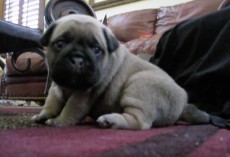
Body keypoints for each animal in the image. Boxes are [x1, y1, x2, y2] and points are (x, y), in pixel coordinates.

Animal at [32, 14, 228, 129]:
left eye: (96, 49)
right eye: (60, 43)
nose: (78, 59)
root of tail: (182, 105)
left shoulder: (84, 93)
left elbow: (71, 108)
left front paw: (59, 121)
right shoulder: (56, 87)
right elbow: (51, 102)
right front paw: (44, 114)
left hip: (138, 85)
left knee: (140, 122)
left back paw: (110, 120)